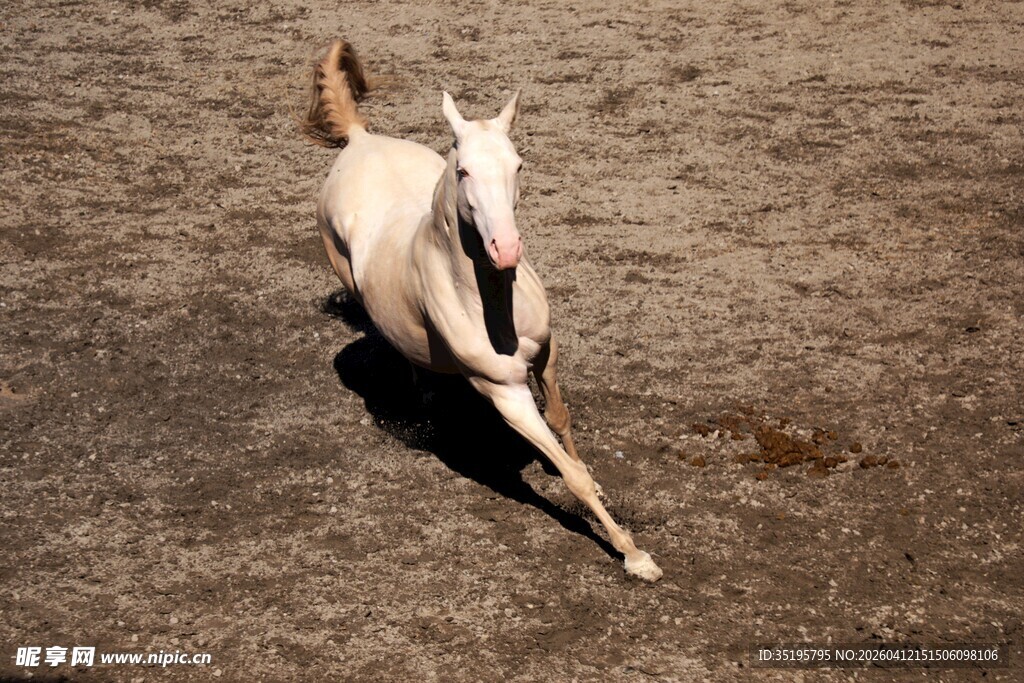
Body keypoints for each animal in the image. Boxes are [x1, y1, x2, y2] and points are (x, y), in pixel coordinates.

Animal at [301, 40, 662, 581]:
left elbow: (561, 420)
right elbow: (569, 475)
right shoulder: (505, 393)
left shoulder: (546, 353)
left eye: (518, 165)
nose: (506, 249)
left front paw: (597, 482)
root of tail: (360, 141)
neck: (488, 302)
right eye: (464, 170)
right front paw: (634, 555)